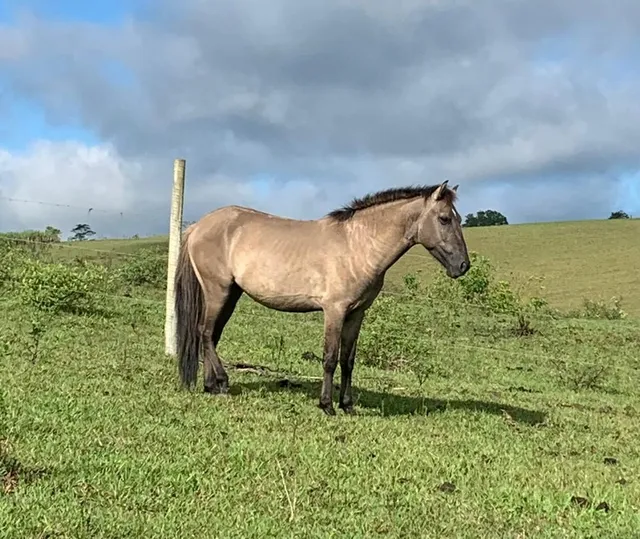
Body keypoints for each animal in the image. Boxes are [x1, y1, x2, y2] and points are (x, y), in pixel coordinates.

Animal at [174, 180, 470, 415]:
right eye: (444, 219)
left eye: (458, 219)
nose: (463, 266)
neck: (357, 246)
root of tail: (198, 226)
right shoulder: (334, 311)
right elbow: (329, 358)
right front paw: (327, 405)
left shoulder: (356, 313)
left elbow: (348, 360)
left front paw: (347, 405)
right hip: (218, 291)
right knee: (205, 333)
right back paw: (222, 382)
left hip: (231, 295)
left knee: (212, 335)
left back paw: (210, 386)